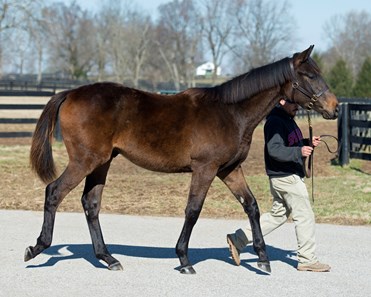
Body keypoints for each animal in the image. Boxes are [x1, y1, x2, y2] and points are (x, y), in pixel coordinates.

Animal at [23, 45, 338, 272]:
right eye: (310, 76)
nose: (334, 107)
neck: (230, 112)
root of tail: (70, 93)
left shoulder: (229, 170)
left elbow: (251, 206)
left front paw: (262, 258)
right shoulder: (205, 168)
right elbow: (193, 210)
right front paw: (184, 259)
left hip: (102, 162)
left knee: (91, 203)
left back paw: (108, 258)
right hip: (85, 161)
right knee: (54, 192)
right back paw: (37, 248)